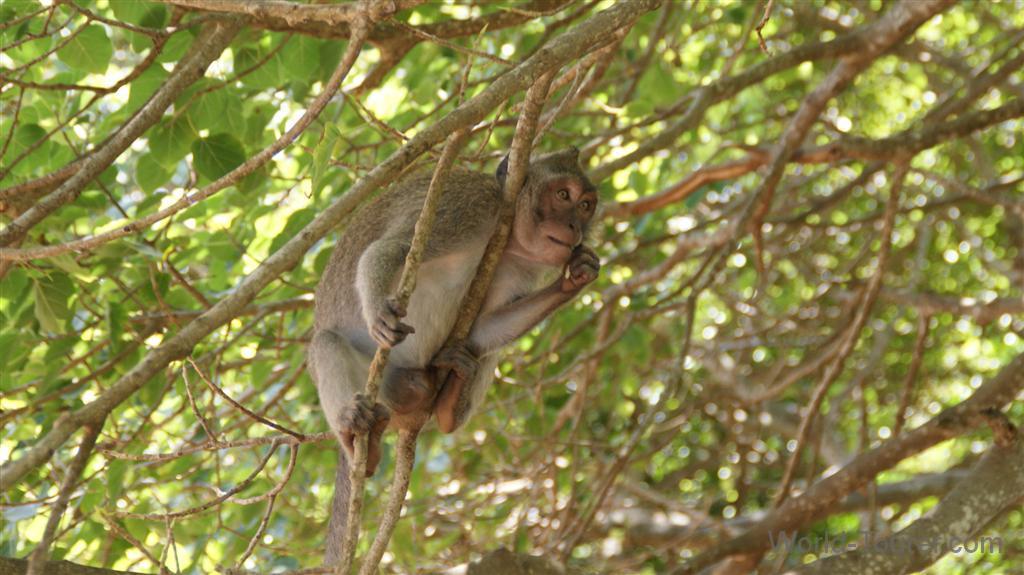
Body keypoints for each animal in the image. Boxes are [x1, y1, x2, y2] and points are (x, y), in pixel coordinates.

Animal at [308, 147, 600, 564]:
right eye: (563, 195)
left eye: (587, 205)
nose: (574, 227)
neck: (506, 234)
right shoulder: (466, 206)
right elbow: (391, 250)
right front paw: (379, 310)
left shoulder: (517, 265)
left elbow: (483, 330)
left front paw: (575, 278)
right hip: (382, 387)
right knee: (326, 342)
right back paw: (358, 440)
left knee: (475, 351)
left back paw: (447, 402)